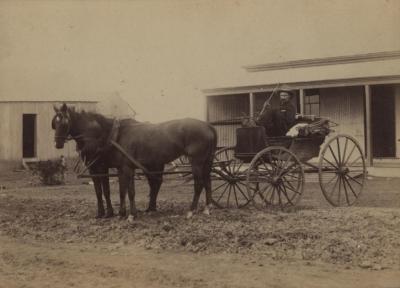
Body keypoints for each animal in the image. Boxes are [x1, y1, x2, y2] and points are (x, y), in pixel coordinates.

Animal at [52, 102, 219, 219]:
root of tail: (208, 126)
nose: (58, 143)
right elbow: (118, 191)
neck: (111, 136)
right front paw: (117, 213)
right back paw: (207, 208)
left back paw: (191, 210)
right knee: (207, 181)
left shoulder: (117, 167)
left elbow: (127, 191)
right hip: (206, 162)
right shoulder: (117, 168)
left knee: (198, 183)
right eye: (54, 123)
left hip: (196, 162)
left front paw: (130, 214)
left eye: (64, 122)